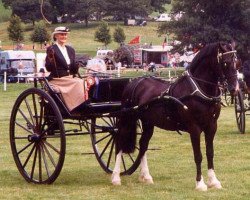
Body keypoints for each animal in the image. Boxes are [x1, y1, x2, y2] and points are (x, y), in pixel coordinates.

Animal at [111, 41, 238, 191]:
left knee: (143, 145)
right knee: (120, 143)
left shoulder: (212, 127)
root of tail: (134, 82)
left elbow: (210, 153)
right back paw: (116, 177)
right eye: (225, 63)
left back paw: (146, 176)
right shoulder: (194, 128)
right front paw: (200, 183)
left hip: (148, 123)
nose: (234, 89)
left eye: (237, 62)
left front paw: (213, 181)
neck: (199, 90)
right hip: (127, 119)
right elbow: (198, 155)